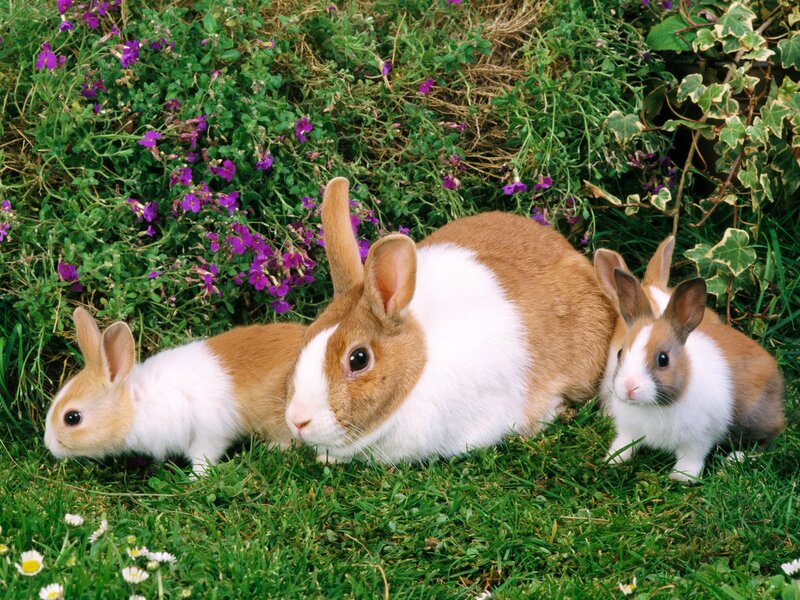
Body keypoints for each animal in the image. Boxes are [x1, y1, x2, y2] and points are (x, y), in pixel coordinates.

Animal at [44, 307, 305, 475]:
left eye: (72, 418)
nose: (49, 445)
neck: (136, 403)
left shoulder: (208, 434)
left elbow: (204, 458)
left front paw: (195, 479)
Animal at [603, 269, 785, 481]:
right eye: (619, 353)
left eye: (663, 359)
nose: (629, 388)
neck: (654, 406)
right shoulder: (629, 430)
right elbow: (624, 444)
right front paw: (612, 459)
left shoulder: (699, 437)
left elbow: (691, 456)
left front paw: (681, 477)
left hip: (753, 419)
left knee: (769, 438)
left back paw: (736, 458)